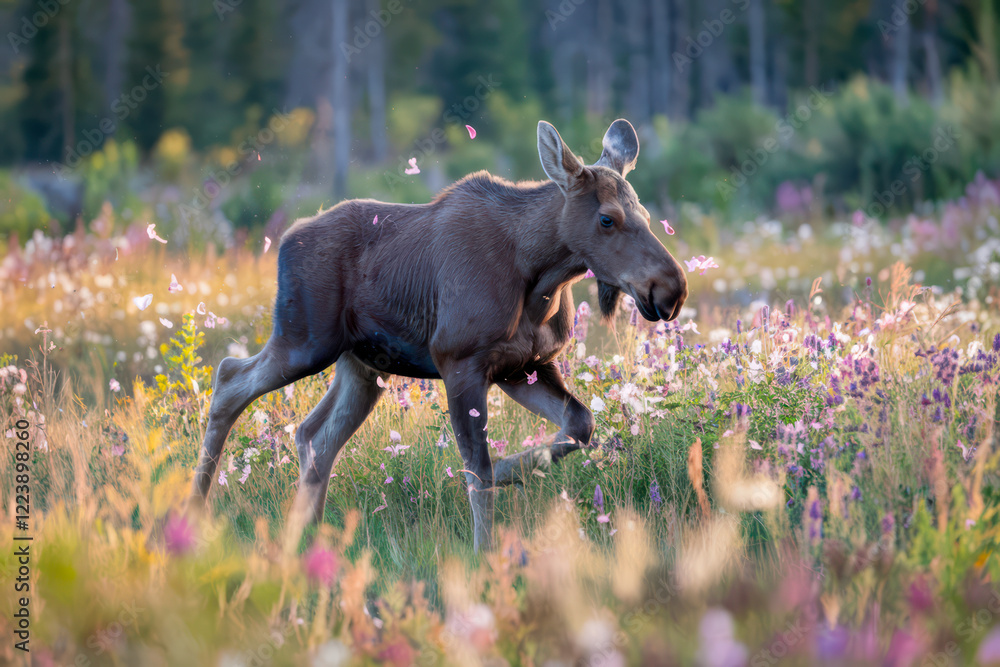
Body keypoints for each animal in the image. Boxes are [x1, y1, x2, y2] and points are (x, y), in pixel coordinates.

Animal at [189, 119, 688, 552]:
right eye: (607, 218)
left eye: (645, 213)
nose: (671, 288)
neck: (540, 276)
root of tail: (285, 238)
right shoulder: (460, 362)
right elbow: (479, 471)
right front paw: (485, 550)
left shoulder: (522, 367)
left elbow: (579, 426)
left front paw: (515, 468)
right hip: (304, 342)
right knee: (229, 379)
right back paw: (193, 509)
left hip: (361, 367)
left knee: (315, 436)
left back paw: (305, 537)